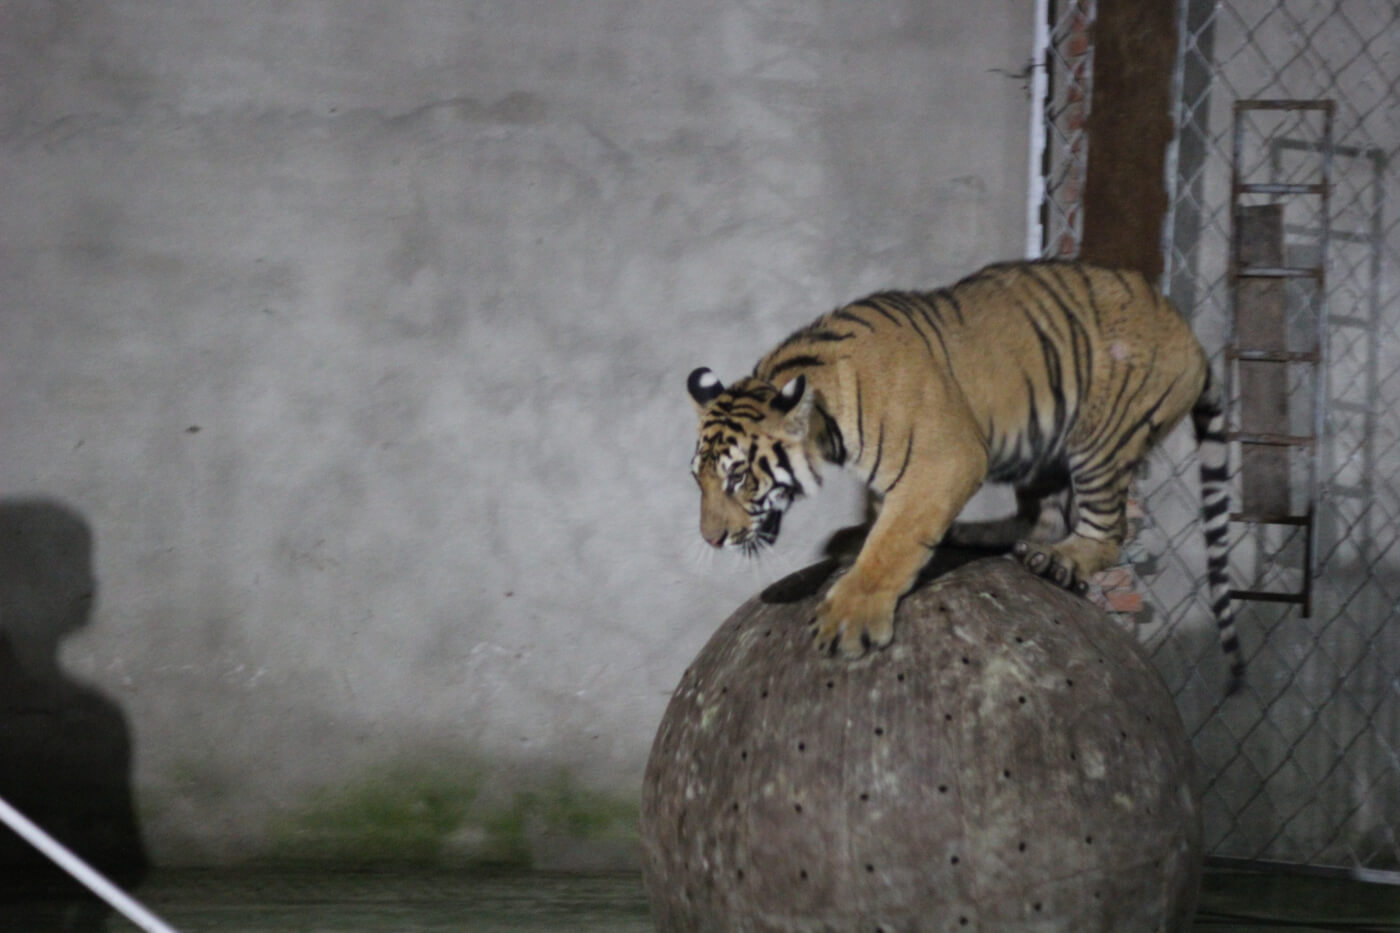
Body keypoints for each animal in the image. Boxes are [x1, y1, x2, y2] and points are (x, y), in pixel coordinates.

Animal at [688, 257, 1248, 694]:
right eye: (699, 479)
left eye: (737, 477)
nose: (711, 539)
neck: (827, 419)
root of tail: (1191, 335)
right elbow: (882, 519)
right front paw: (854, 538)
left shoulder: (946, 460)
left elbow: (894, 541)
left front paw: (850, 618)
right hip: (1041, 446)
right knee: (1042, 518)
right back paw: (978, 536)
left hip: (1101, 439)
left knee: (1107, 531)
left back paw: (1060, 560)